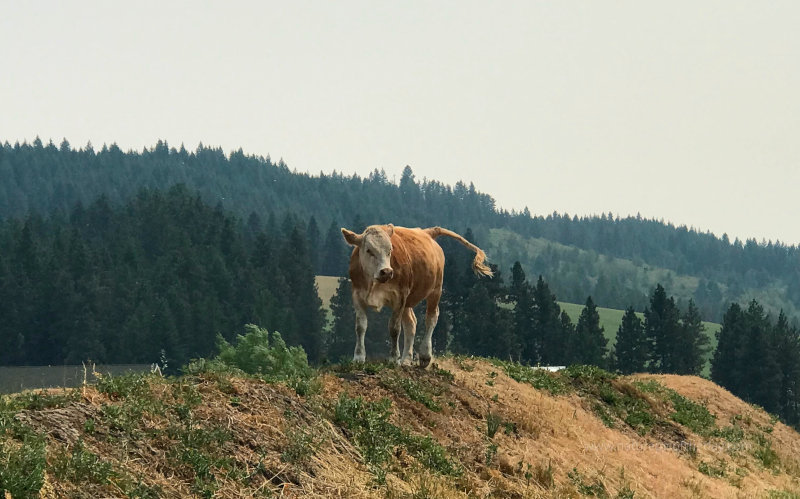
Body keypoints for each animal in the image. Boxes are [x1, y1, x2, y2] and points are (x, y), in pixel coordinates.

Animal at [340, 225, 490, 370]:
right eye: (369, 250)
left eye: (390, 250)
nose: (386, 272)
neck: (374, 283)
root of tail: (427, 232)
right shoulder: (357, 296)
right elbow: (360, 327)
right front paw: (358, 358)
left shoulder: (400, 297)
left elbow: (394, 328)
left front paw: (393, 358)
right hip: (409, 300)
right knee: (411, 323)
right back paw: (406, 359)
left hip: (436, 289)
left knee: (431, 318)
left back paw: (424, 356)